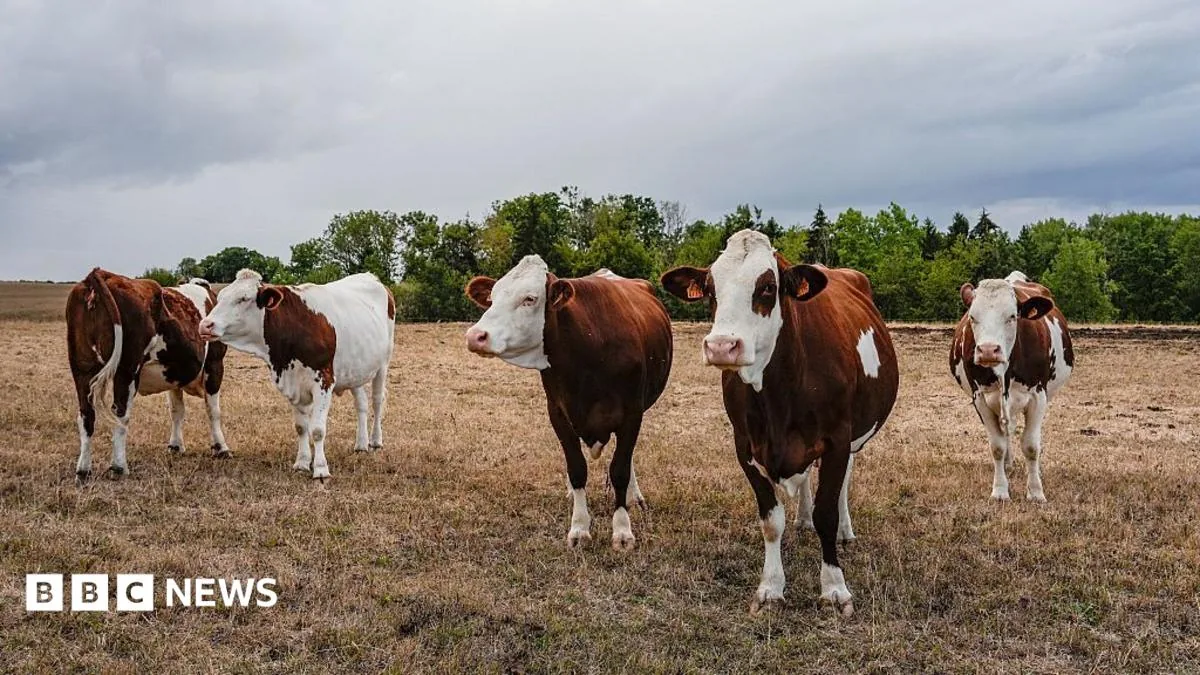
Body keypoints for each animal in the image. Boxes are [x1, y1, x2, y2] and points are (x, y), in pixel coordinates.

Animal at [66, 268, 231, 480]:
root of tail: (103, 274)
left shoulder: (173, 375)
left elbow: (176, 410)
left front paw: (175, 445)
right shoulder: (215, 363)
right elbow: (213, 410)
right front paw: (221, 448)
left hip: (82, 369)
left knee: (86, 414)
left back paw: (83, 470)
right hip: (127, 368)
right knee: (120, 413)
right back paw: (118, 467)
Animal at [198, 269, 395, 480]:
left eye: (243, 298)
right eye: (220, 297)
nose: (205, 325)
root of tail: (370, 277)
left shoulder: (324, 380)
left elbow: (317, 429)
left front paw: (320, 468)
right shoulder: (294, 383)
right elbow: (301, 427)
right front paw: (302, 462)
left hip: (383, 363)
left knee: (377, 400)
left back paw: (375, 441)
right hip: (355, 370)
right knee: (362, 403)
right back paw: (361, 444)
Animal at [463, 256, 673, 551]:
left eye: (530, 299)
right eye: (492, 298)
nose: (476, 336)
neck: (588, 352)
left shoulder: (632, 413)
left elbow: (620, 469)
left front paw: (622, 530)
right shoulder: (558, 413)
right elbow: (577, 470)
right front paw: (579, 528)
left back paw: (634, 496)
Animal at [661, 229, 898, 616]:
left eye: (768, 287)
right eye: (711, 288)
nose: (722, 346)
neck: (778, 394)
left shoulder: (837, 439)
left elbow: (827, 513)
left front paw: (834, 587)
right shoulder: (745, 445)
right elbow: (771, 521)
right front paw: (771, 587)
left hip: (855, 437)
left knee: (845, 480)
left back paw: (845, 531)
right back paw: (803, 518)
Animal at [950, 271, 1074, 502]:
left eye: (1012, 316)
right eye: (973, 317)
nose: (988, 350)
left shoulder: (1038, 396)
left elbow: (1031, 446)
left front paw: (1035, 492)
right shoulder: (980, 398)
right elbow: (997, 445)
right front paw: (1000, 490)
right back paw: (1008, 464)